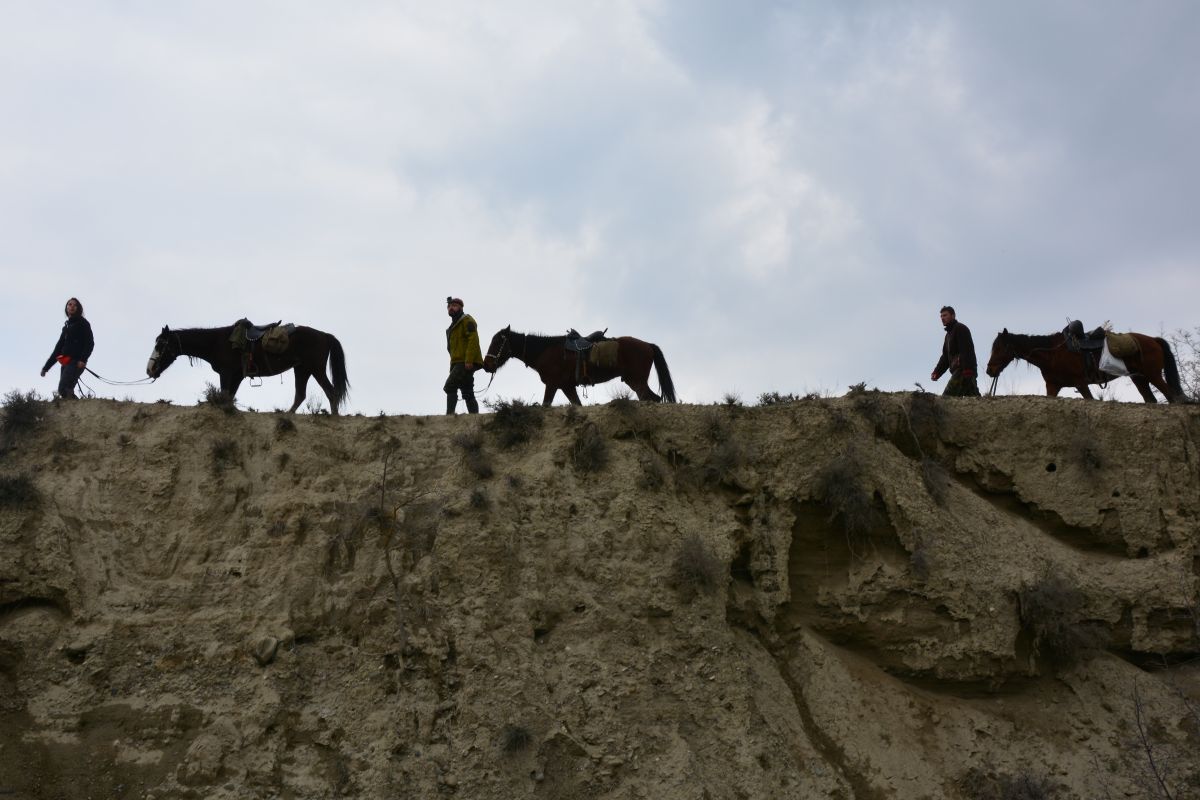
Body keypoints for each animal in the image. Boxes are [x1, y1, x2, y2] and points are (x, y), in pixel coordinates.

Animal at [147, 323, 350, 417]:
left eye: (160, 345)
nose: (150, 369)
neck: (216, 342)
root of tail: (325, 335)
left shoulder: (227, 373)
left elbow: (224, 395)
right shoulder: (236, 376)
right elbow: (229, 397)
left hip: (316, 368)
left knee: (331, 392)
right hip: (302, 370)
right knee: (300, 395)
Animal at [482, 326, 681, 407]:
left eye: (497, 342)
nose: (486, 365)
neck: (545, 350)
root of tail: (648, 345)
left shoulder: (552, 385)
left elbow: (546, 405)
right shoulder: (567, 386)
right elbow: (577, 404)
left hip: (637, 381)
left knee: (649, 398)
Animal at [984, 328, 1180, 402]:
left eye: (998, 347)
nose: (989, 370)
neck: (1052, 354)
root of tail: (1154, 340)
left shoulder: (1081, 383)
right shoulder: (1053, 386)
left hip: (1154, 375)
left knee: (1172, 396)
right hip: (1140, 378)